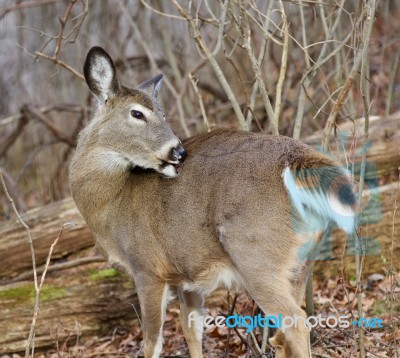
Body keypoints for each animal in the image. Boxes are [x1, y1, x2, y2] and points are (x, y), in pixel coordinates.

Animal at [69, 47, 356, 358]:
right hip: (304, 259)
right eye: (137, 113)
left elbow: (151, 342)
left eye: (160, 113)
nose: (178, 151)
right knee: (284, 332)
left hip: (255, 253)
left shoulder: (146, 267)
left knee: (295, 322)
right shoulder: (185, 272)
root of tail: (298, 161)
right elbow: (191, 330)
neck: (111, 205)